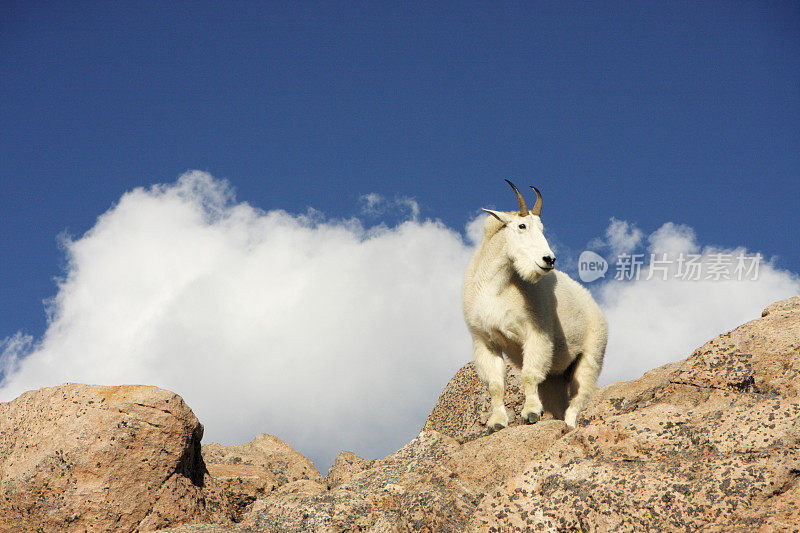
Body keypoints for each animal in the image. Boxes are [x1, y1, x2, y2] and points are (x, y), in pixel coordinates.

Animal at [462, 181, 608, 430]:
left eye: (542, 228)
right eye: (522, 226)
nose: (549, 259)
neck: (496, 288)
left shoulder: (537, 332)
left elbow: (529, 374)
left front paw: (530, 413)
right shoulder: (484, 340)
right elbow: (495, 384)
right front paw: (497, 423)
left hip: (591, 356)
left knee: (577, 400)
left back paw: (569, 426)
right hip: (556, 376)